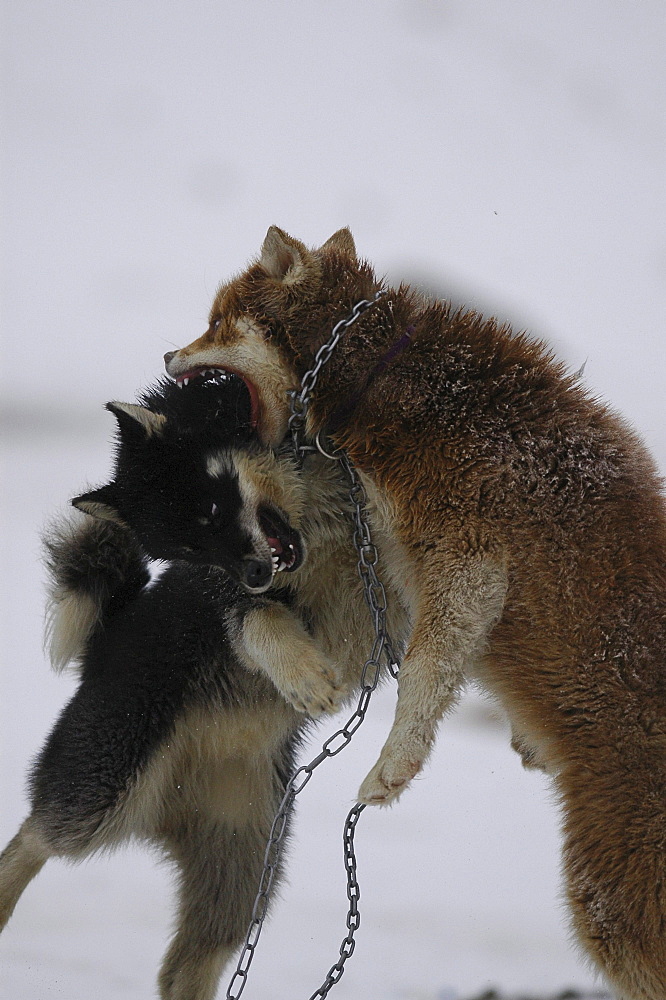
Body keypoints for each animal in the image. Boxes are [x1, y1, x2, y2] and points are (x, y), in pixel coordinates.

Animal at [166, 229, 666, 1000]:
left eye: (216, 323)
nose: (168, 356)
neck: (386, 377)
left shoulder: (467, 559)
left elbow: (426, 677)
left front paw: (391, 768)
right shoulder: (390, 568)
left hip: (607, 907)